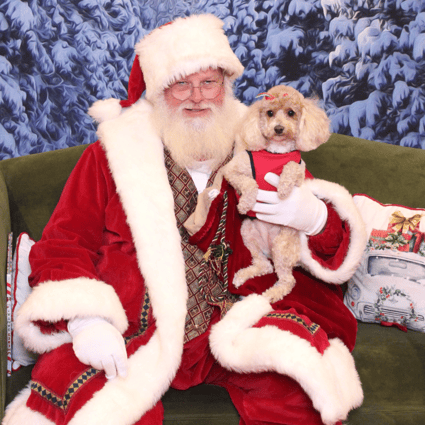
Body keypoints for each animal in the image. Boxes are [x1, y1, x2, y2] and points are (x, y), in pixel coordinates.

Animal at [224, 84, 330, 302]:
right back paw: (243, 276)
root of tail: (269, 250)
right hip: (248, 231)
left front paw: (283, 188)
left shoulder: (301, 173)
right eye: (270, 113)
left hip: (282, 243)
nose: (278, 128)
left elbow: (291, 166)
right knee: (264, 266)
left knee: (287, 280)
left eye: (291, 112)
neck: (276, 152)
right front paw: (245, 203)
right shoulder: (232, 170)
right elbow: (249, 182)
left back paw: (270, 295)